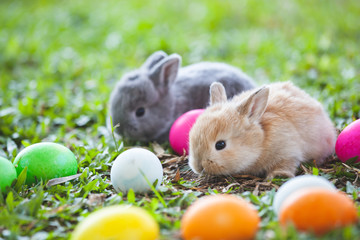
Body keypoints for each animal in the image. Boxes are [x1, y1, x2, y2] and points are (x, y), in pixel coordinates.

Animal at [188, 81, 338, 179]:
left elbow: (286, 164)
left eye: (220, 145)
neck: (260, 141)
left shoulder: (288, 152)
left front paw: (277, 175)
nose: (199, 166)